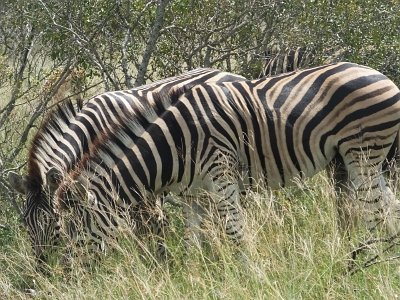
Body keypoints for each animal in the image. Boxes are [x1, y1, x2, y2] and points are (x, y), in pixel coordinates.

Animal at [7, 68, 247, 262]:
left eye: (53, 220)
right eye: (25, 222)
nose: (44, 267)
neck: (91, 133)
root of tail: (228, 72)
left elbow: (151, 227)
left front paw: (159, 264)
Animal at [52, 61, 400, 253]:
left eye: (77, 228)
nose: (76, 273)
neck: (174, 145)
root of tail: (380, 75)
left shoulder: (222, 174)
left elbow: (234, 231)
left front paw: (248, 275)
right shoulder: (193, 193)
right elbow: (195, 238)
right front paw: (197, 274)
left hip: (361, 152)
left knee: (374, 208)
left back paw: (368, 258)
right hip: (369, 158)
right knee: (388, 203)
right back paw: (385, 256)